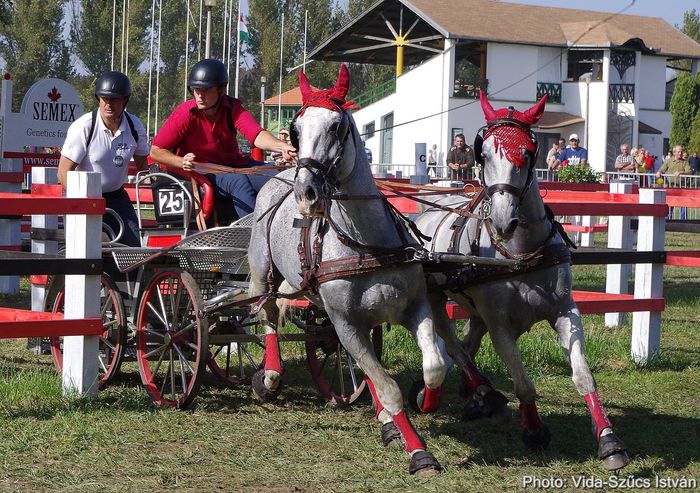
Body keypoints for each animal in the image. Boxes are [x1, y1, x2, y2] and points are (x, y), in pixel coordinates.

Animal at [249, 64, 448, 472]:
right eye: (296, 128)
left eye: (337, 126)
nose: (306, 193)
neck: (365, 243)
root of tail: (280, 176)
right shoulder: (346, 323)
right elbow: (388, 387)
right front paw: (418, 452)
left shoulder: (413, 307)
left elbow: (433, 367)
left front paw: (424, 401)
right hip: (263, 273)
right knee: (268, 313)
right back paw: (270, 375)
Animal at [416, 90, 628, 470]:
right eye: (483, 153)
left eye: (528, 152)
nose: (504, 222)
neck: (521, 253)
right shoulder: (500, 326)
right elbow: (523, 382)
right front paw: (534, 430)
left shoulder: (565, 312)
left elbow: (583, 375)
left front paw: (609, 440)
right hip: (437, 298)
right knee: (454, 346)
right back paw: (458, 395)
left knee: (468, 342)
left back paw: (476, 395)